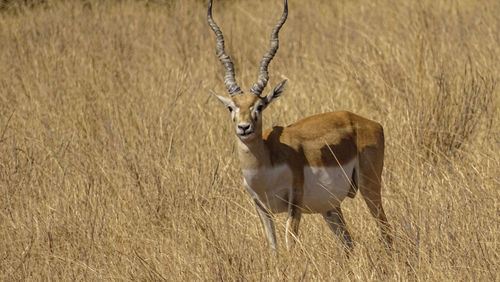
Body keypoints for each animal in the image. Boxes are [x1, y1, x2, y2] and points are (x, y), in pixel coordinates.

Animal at [206, 0, 390, 252]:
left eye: (260, 106)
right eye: (231, 108)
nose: (244, 128)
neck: (265, 163)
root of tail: (370, 123)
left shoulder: (295, 200)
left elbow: (289, 244)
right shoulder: (260, 206)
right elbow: (274, 248)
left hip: (369, 187)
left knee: (386, 229)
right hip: (330, 207)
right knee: (348, 244)